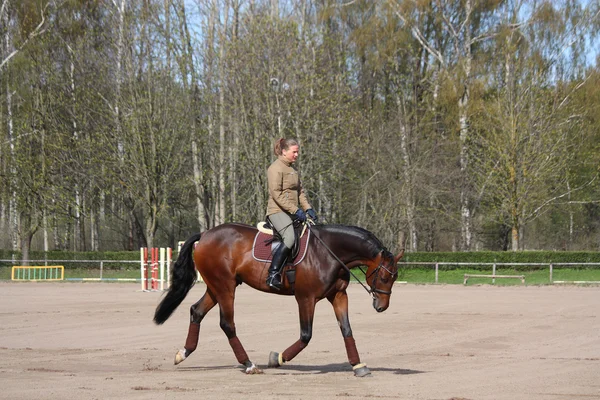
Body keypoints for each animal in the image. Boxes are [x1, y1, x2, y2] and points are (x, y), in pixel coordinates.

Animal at [154, 223, 404, 376]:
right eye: (384, 276)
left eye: (395, 277)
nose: (382, 306)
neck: (329, 252)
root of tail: (205, 234)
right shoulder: (306, 298)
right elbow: (305, 336)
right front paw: (277, 358)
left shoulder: (338, 296)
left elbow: (346, 330)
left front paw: (358, 365)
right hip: (225, 288)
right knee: (227, 324)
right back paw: (249, 364)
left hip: (217, 287)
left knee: (196, 311)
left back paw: (183, 353)